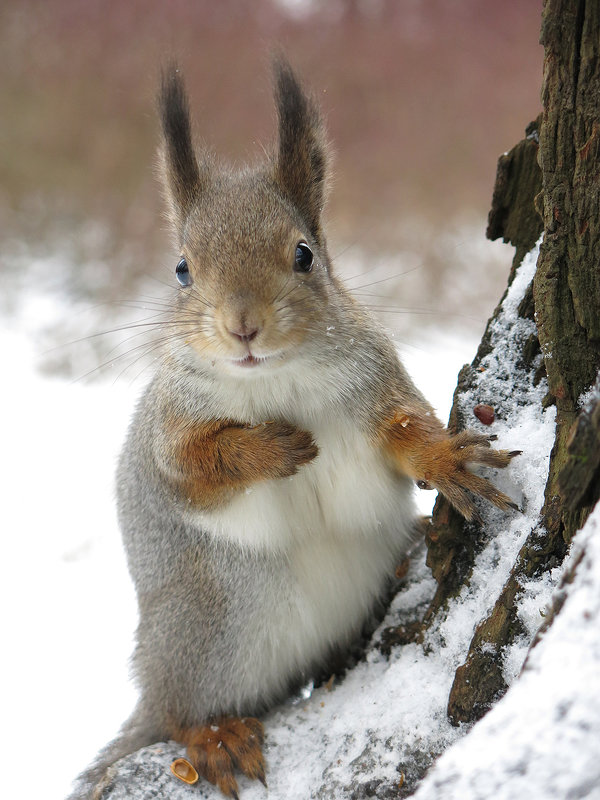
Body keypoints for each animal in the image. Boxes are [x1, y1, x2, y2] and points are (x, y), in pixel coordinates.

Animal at [69, 57, 520, 800]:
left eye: (304, 255)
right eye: (182, 268)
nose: (242, 326)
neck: (273, 379)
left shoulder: (372, 385)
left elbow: (403, 435)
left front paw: (445, 460)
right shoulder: (171, 433)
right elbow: (195, 470)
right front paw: (269, 447)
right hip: (197, 633)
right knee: (175, 712)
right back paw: (213, 735)